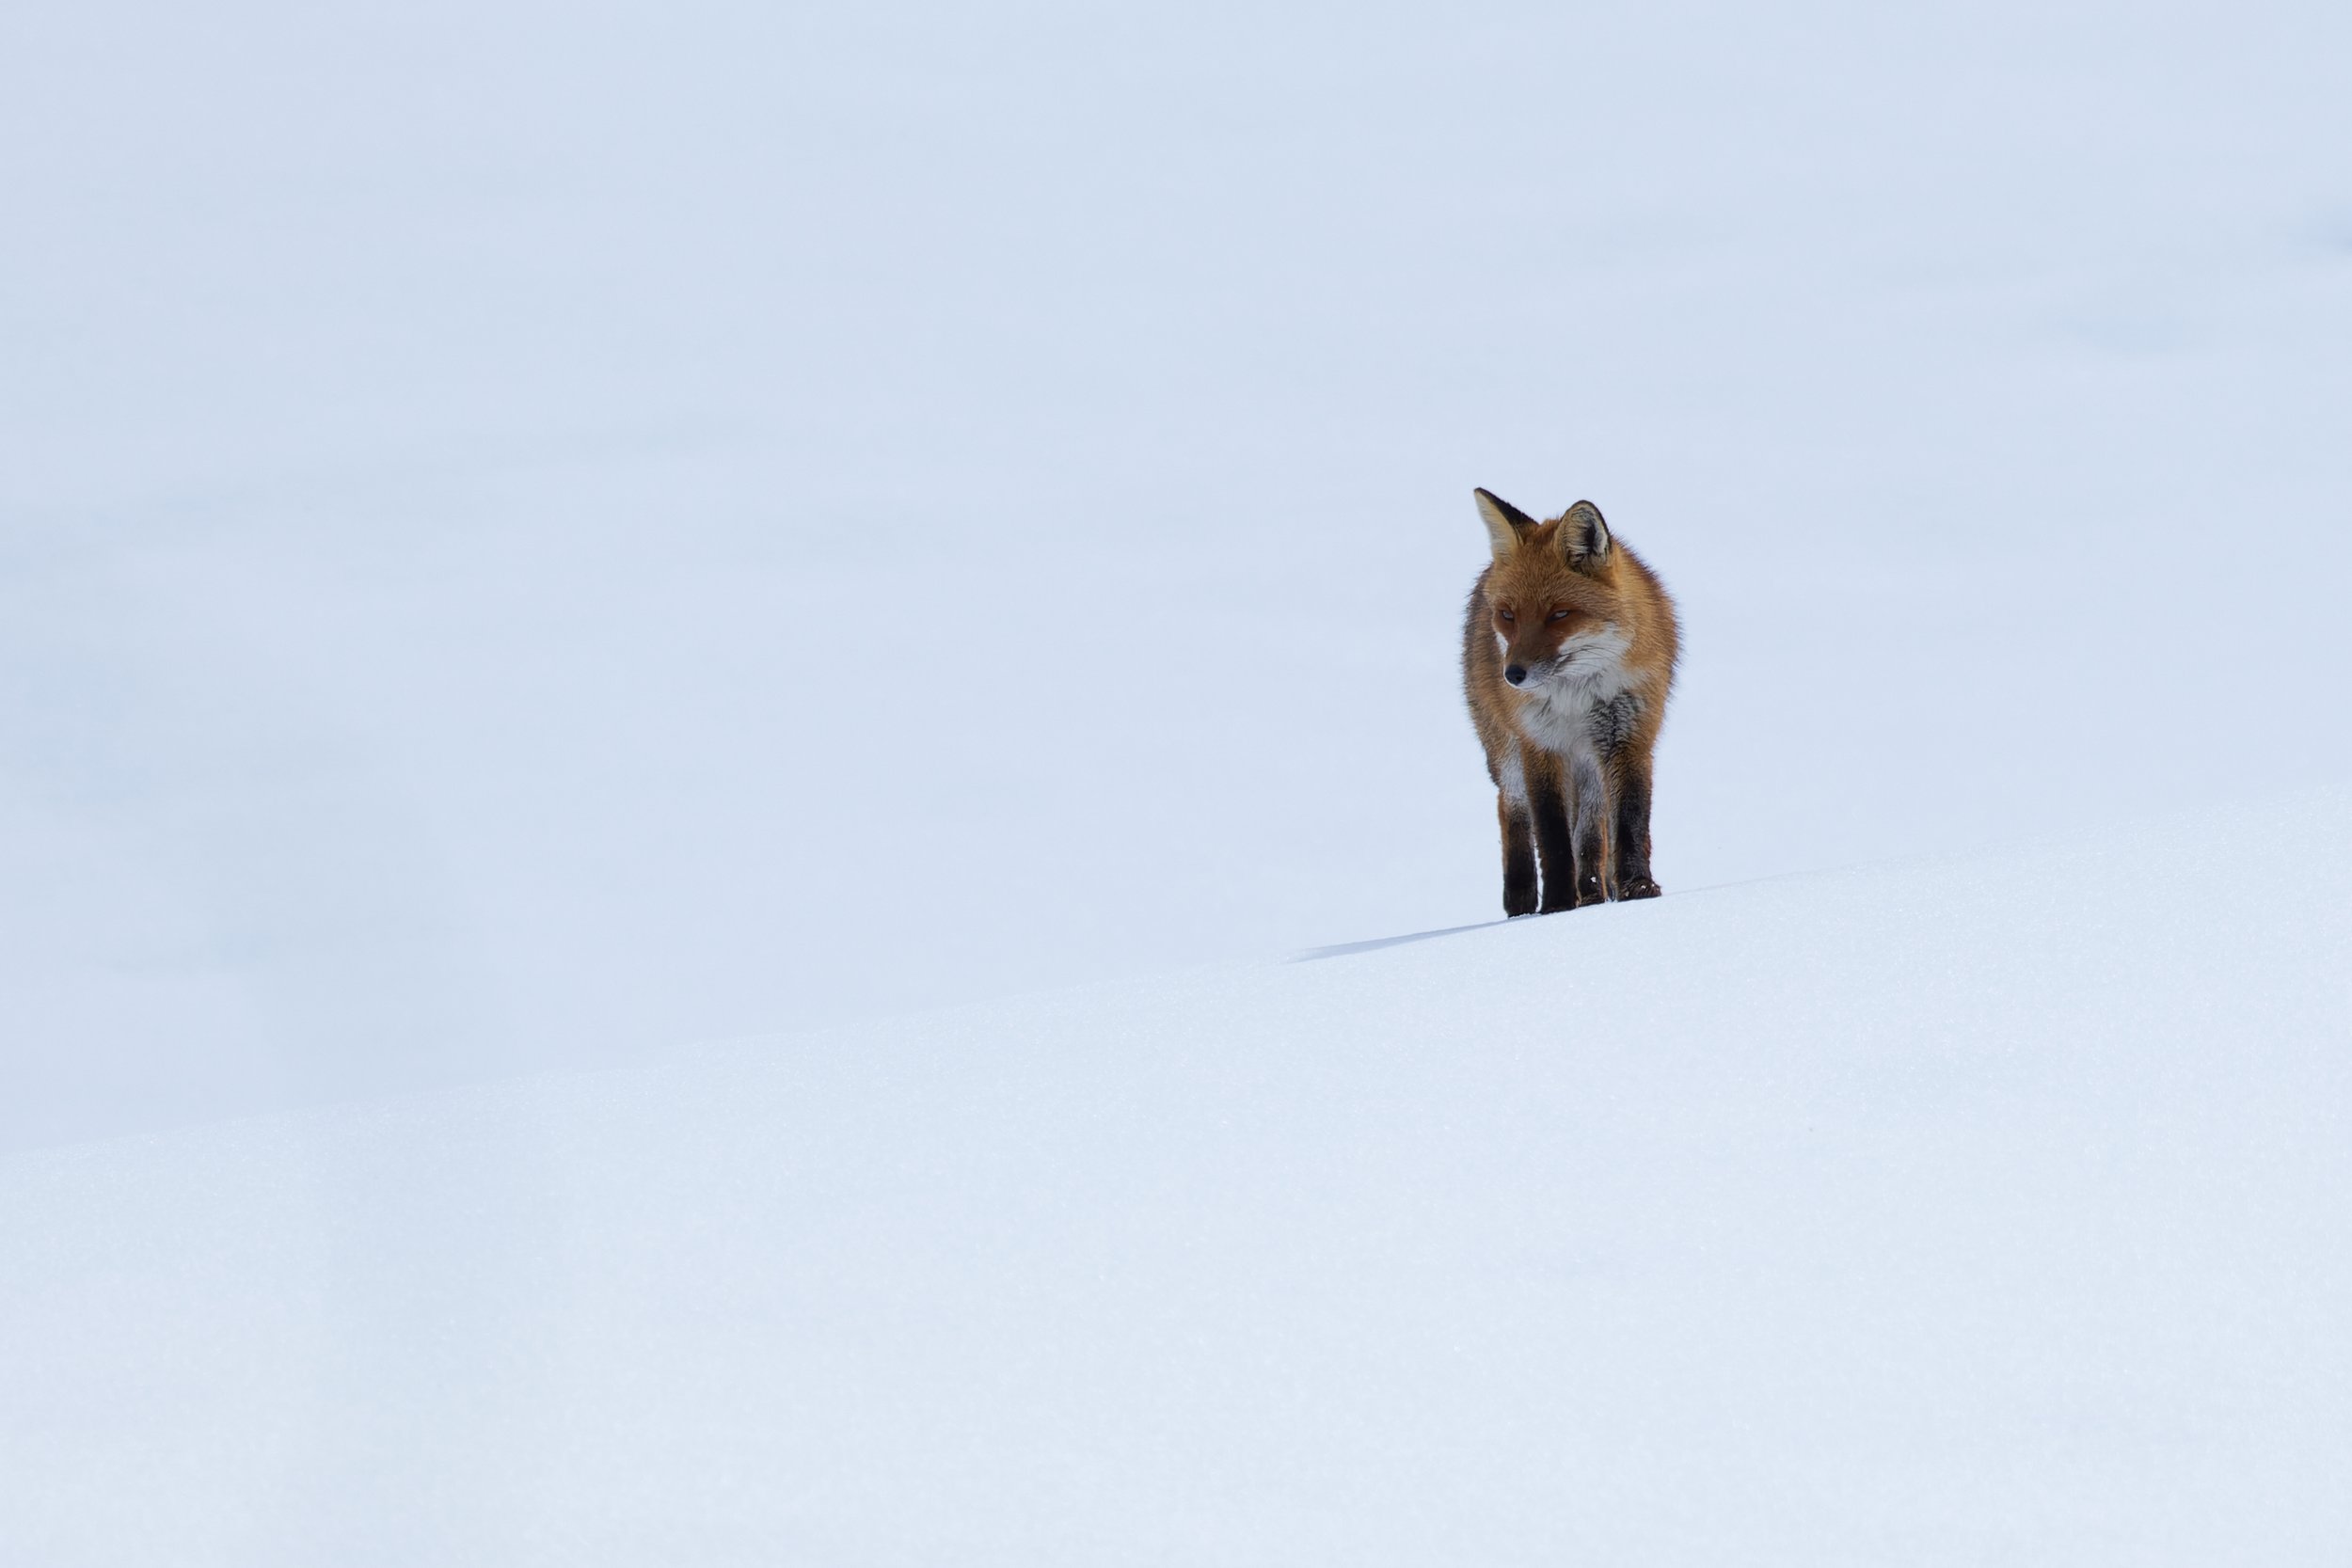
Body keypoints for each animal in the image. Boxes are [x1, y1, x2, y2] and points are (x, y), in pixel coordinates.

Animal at [1462, 489, 1680, 916]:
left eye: (1559, 614)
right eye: (1508, 616)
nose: (1512, 675)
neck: (1576, 699)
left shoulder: (1628, 737)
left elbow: (1629, 821)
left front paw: (1637, 888)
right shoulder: (1540, 745)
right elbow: (1551, 833)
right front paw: (1558, 906)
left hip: (1590, 768)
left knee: (1591, 834)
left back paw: (1593, 893)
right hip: (1508, 753)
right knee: (1511, 810)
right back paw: (1521, 901)